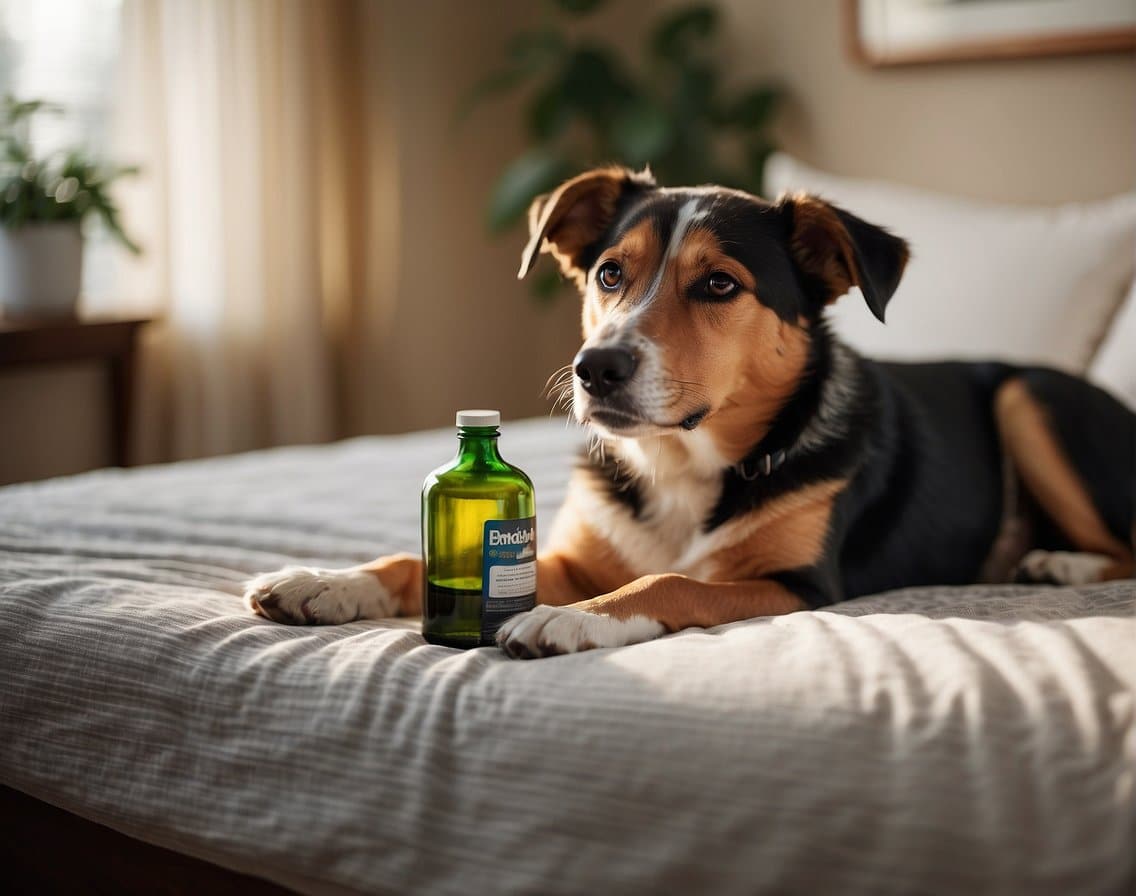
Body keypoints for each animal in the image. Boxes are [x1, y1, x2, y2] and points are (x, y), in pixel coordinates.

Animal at [248, 165, 1136, 658]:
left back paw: (1059, 564)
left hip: (1030, 397)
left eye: (719, 284)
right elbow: (417, 560)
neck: (680, 464)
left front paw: (575, 622)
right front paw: (330, 583)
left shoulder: (797, 583)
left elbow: (674, 580)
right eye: (609, 273)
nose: (595, 368)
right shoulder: (574, 557)